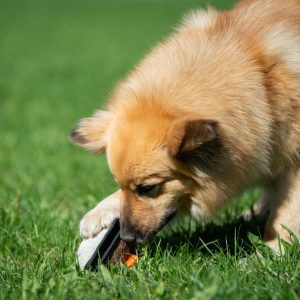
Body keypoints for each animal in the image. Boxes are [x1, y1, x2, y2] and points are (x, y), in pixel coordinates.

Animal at [69, 0, 300, 253]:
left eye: (147, 188)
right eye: (121, 186)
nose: (126, 237)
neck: (264, 87)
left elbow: (285, 215)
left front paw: (271, 252)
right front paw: (100, 211)